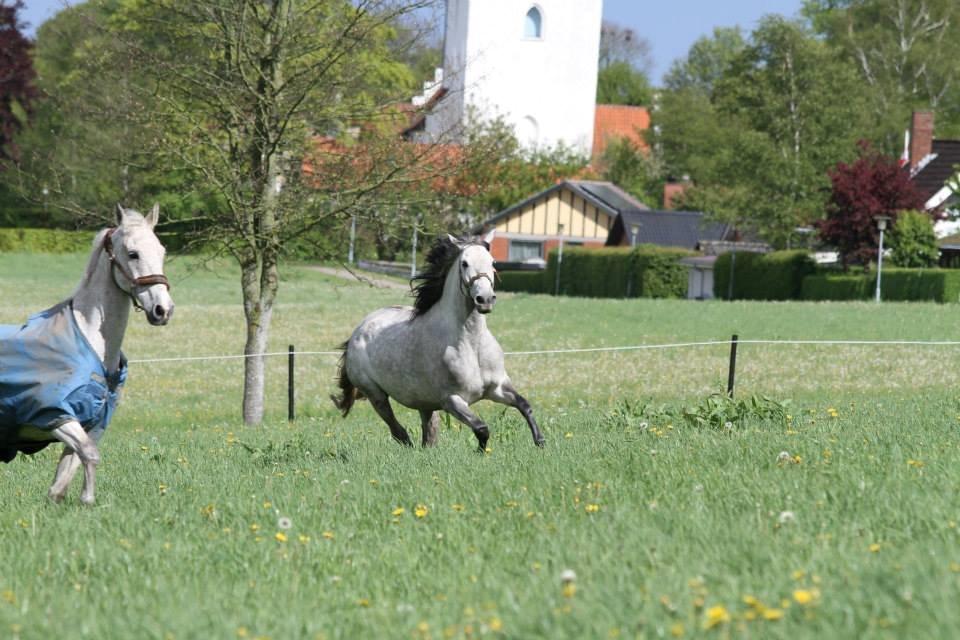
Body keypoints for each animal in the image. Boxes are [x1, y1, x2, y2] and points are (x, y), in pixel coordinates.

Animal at [0, 205, 172, 504]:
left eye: (161, 251)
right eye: (133, 253)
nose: (163, 310)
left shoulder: (92, 423)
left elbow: (64, 476)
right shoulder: (54, 416)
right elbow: (90, 455)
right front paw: (88, 501)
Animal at [332, 231, 544, 450]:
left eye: (492, 262)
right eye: (464, 263)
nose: (485, 299)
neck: (472, 345)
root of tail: (357, 332)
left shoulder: (498, 388)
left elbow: (525, 406)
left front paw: (540, 442)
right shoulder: (451, 400)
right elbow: (481, 428)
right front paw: (481, 452)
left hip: (424, 402)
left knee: (427, 432)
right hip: (376, 395)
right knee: (398, 430)